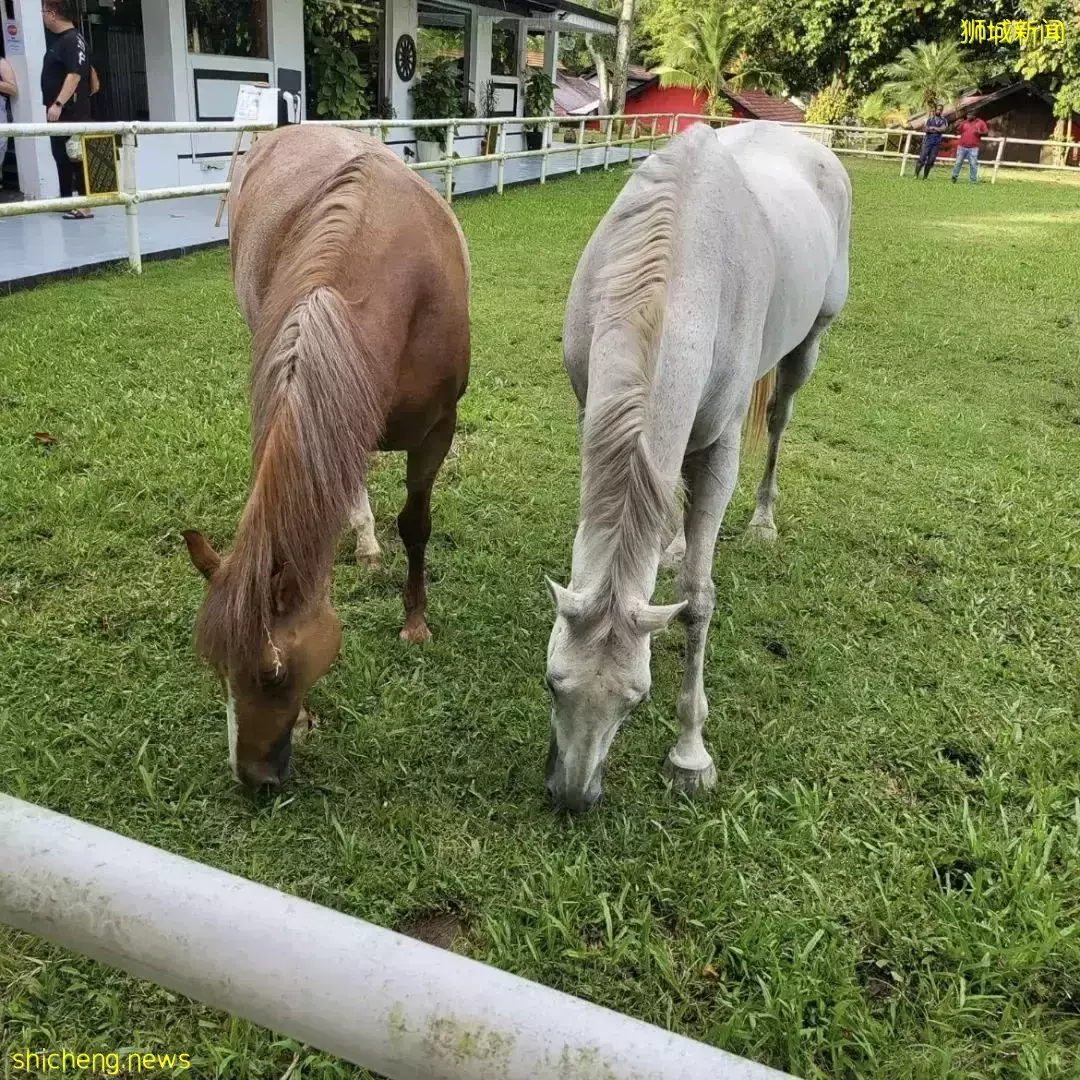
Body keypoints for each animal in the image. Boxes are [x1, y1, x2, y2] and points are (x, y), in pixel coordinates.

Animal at [184, 126, 468, 790]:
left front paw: (415, 622)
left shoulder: (438, 429)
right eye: (218, 668)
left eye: (273, 673)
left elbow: (416, 525)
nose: (252, 779)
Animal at [548, 120, 851, 812]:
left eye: (636, 700)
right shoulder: (591, 414)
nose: (574, 796)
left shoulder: (719, 452)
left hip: (806, 348)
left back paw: (762, 521)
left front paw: (690, 755)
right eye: (553, 682)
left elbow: (699, 601)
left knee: (780, 420)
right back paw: (671, 545)